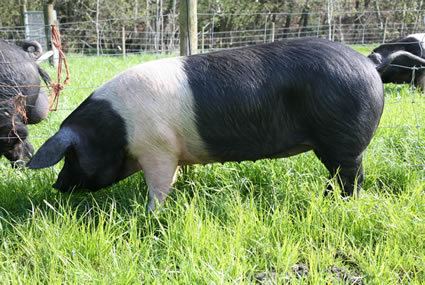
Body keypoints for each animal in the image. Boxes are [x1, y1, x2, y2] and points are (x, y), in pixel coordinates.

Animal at [28, 37, 382, 210]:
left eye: (70, 155)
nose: (57, 185)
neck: (117, 130)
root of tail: (368, 65)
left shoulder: (158, 149)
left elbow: (159, 185)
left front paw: (150, 213)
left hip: (342, 141)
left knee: (351, 176)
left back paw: (335, 204)